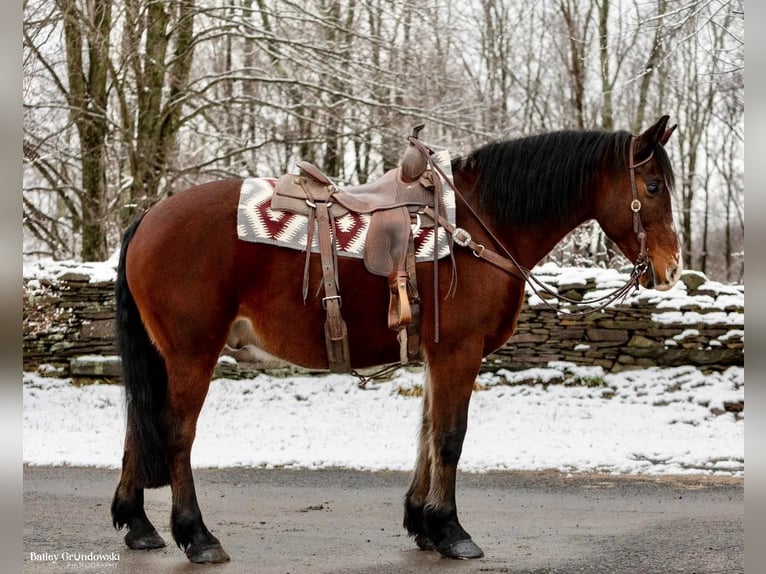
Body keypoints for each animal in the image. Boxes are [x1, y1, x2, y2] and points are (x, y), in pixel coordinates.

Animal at [111, 116, 680, 564]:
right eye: (653, 186)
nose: (671, 268)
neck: (480, 224)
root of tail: (148, 219)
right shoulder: (459, 352)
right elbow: (450, 437)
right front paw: (451, 530)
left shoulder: (436, 355)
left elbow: (427, 433)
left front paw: (422, 523)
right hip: (192, 353)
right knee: (176, 433)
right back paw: (197, 536)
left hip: (165, 356)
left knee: (138, 425)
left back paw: (138, 525)